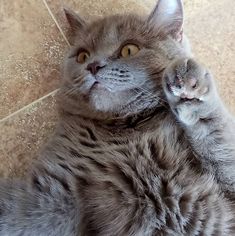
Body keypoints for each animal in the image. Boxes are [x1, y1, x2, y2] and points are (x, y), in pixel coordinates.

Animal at [0, 0, 235, 235]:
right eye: (82, 56)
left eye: (129, 49)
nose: (93, 65)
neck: (127, 127)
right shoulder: (53, 194)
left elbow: (217, 135)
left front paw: (189, 88)